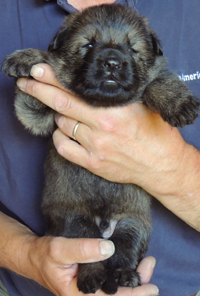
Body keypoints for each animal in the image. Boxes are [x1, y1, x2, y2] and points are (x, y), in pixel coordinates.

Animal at [1, 4, 200, 294]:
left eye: (132, 48)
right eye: (88, 44)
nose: (112, 63)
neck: (102, 103)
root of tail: (105, 228)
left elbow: (158, 81)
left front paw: (178, 102)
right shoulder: (38, 116)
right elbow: (44, 73)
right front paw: (30, 58)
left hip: (133, 224)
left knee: (124, 253)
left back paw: (124, 275)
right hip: (76, 223)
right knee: (91, 256)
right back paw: (92, 277)